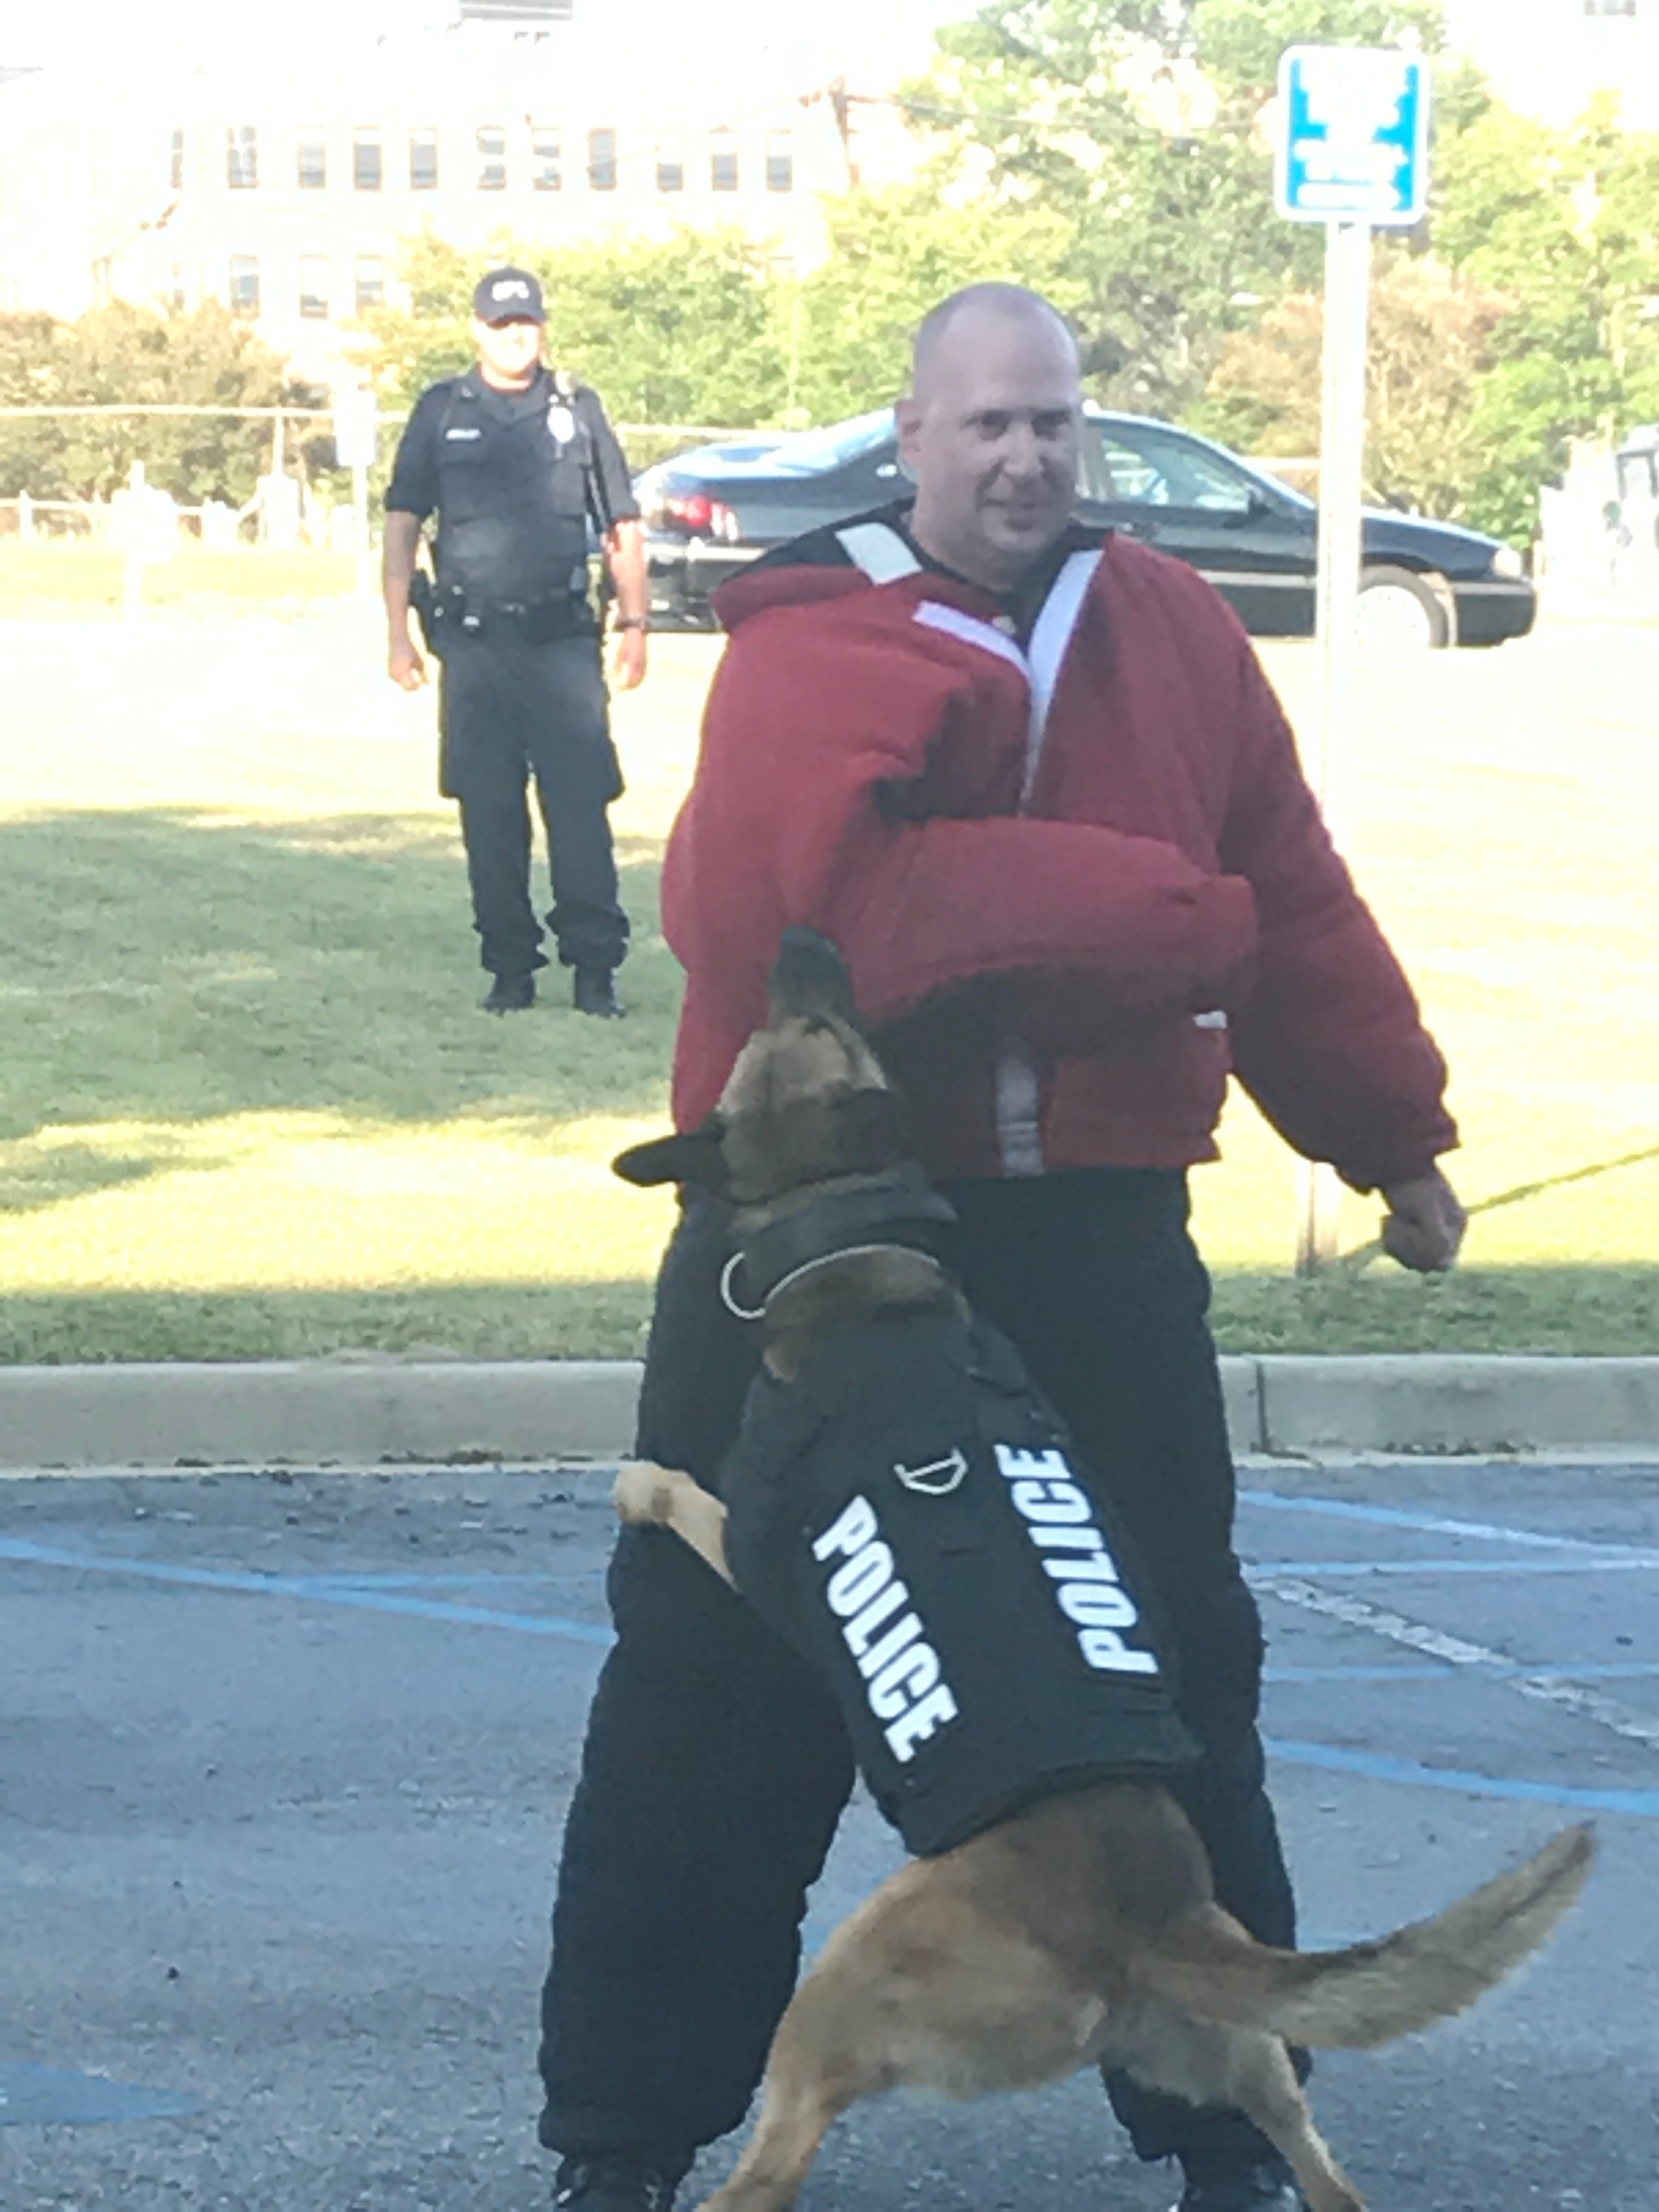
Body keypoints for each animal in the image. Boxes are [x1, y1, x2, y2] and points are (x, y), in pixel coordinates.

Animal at [614, 929, 1601, 2212]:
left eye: (807, 1028)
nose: (803, 943)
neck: (854, 1255)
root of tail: (1154, 1924)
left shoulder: (749, 1540)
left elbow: (687, 1497)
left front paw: (638, 1483)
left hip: (836, 1990)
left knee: (770, 2168)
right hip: (1247, 2064)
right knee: (1322, 2171)